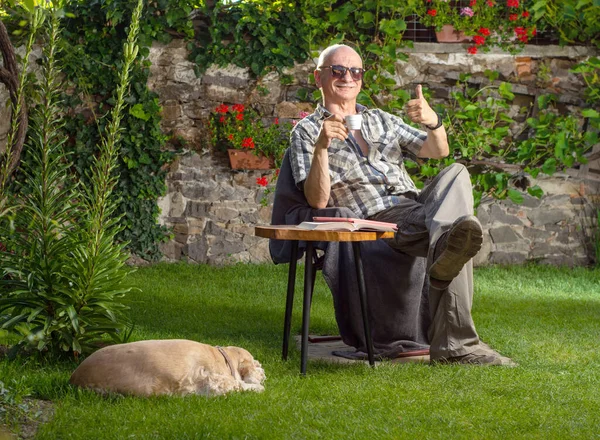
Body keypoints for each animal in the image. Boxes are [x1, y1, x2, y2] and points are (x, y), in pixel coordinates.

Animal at [69, 338, 266, 398]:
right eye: (256, 363)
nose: (264, 374)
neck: (224, 357)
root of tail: (74, 378)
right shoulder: (213, 381)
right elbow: (240, 385)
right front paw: (258, 386)